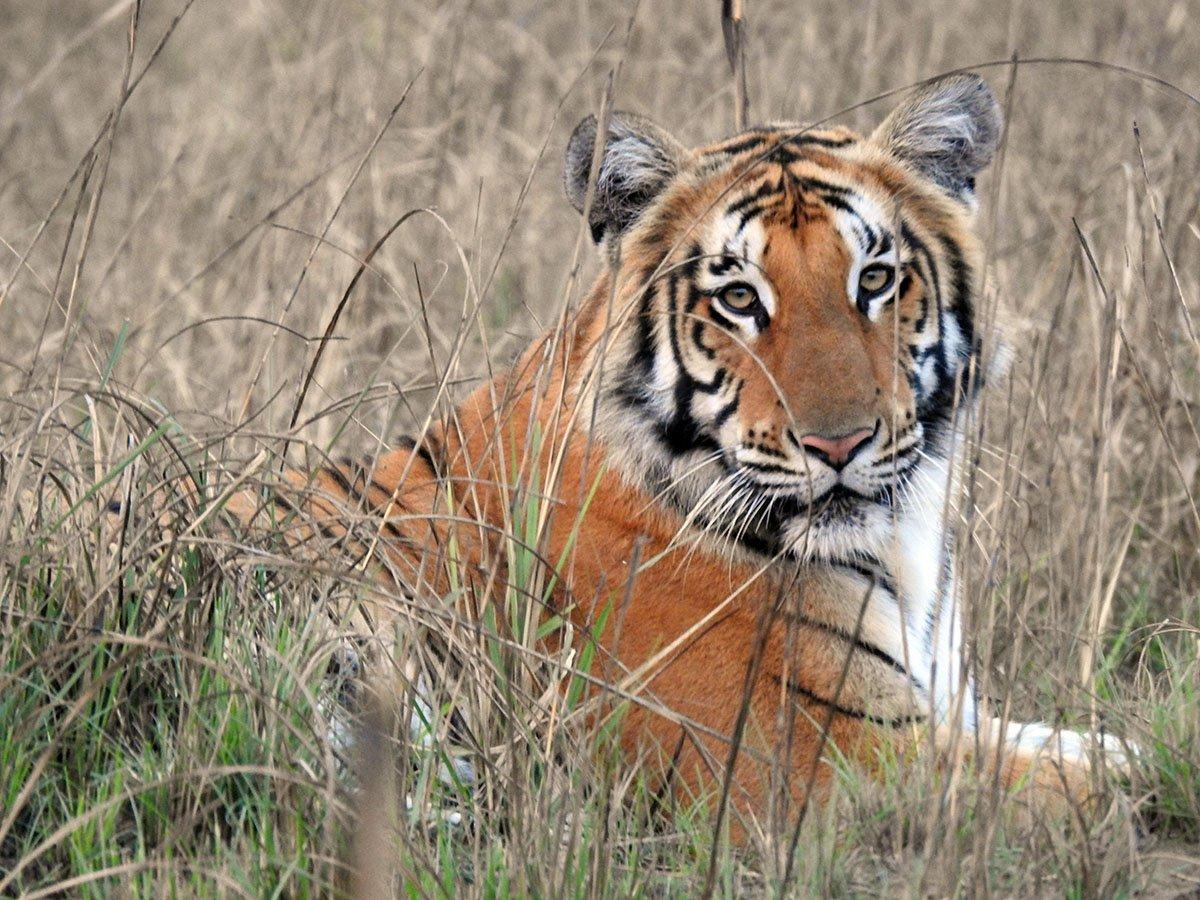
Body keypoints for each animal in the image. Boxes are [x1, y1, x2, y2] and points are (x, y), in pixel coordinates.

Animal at [232, 74, 1132, 836]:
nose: (839, 444)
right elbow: (1113, 780)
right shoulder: (819, 761)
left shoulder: (944, 713)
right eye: (738, 298)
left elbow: (1100, 742)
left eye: (876, 280)